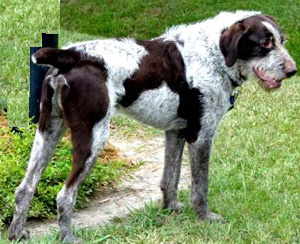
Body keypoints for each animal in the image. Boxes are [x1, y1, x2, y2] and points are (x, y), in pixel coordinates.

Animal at [8, 10, 296, 243]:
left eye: (282, 41)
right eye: (264, 44)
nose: (293, 71)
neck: (213, 55)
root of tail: (71, 55)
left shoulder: (176, 131)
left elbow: (170, 178)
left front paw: (171, 210)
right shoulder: (201, 136)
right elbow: (200, 187)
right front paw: (205, 218)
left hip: (48, 131)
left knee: (25, 188)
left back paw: (17, 233)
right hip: (93, 138)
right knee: (64, 195)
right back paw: (68, 238)